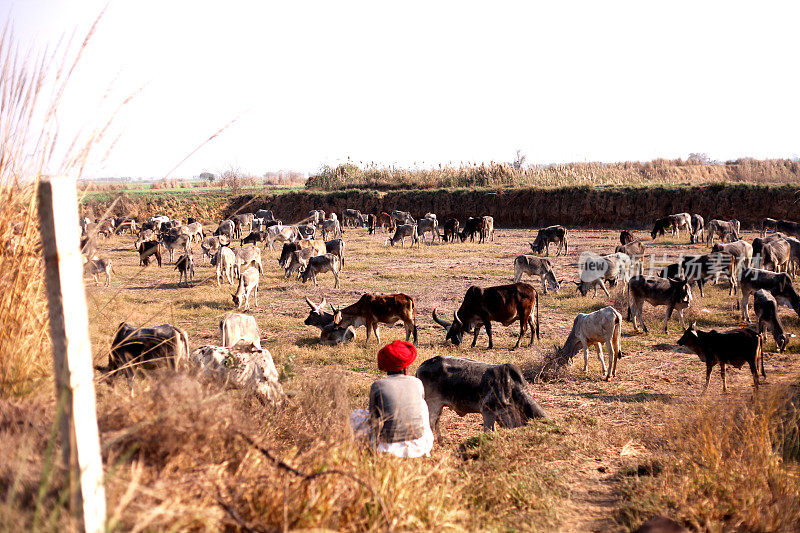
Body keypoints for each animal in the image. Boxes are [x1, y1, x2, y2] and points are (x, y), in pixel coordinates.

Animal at [412, 358, 552, 436]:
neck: (512, 386)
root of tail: (421, 366)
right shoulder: (487, 411)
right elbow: (488, 431)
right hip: (432, 404)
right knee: (429, 424)